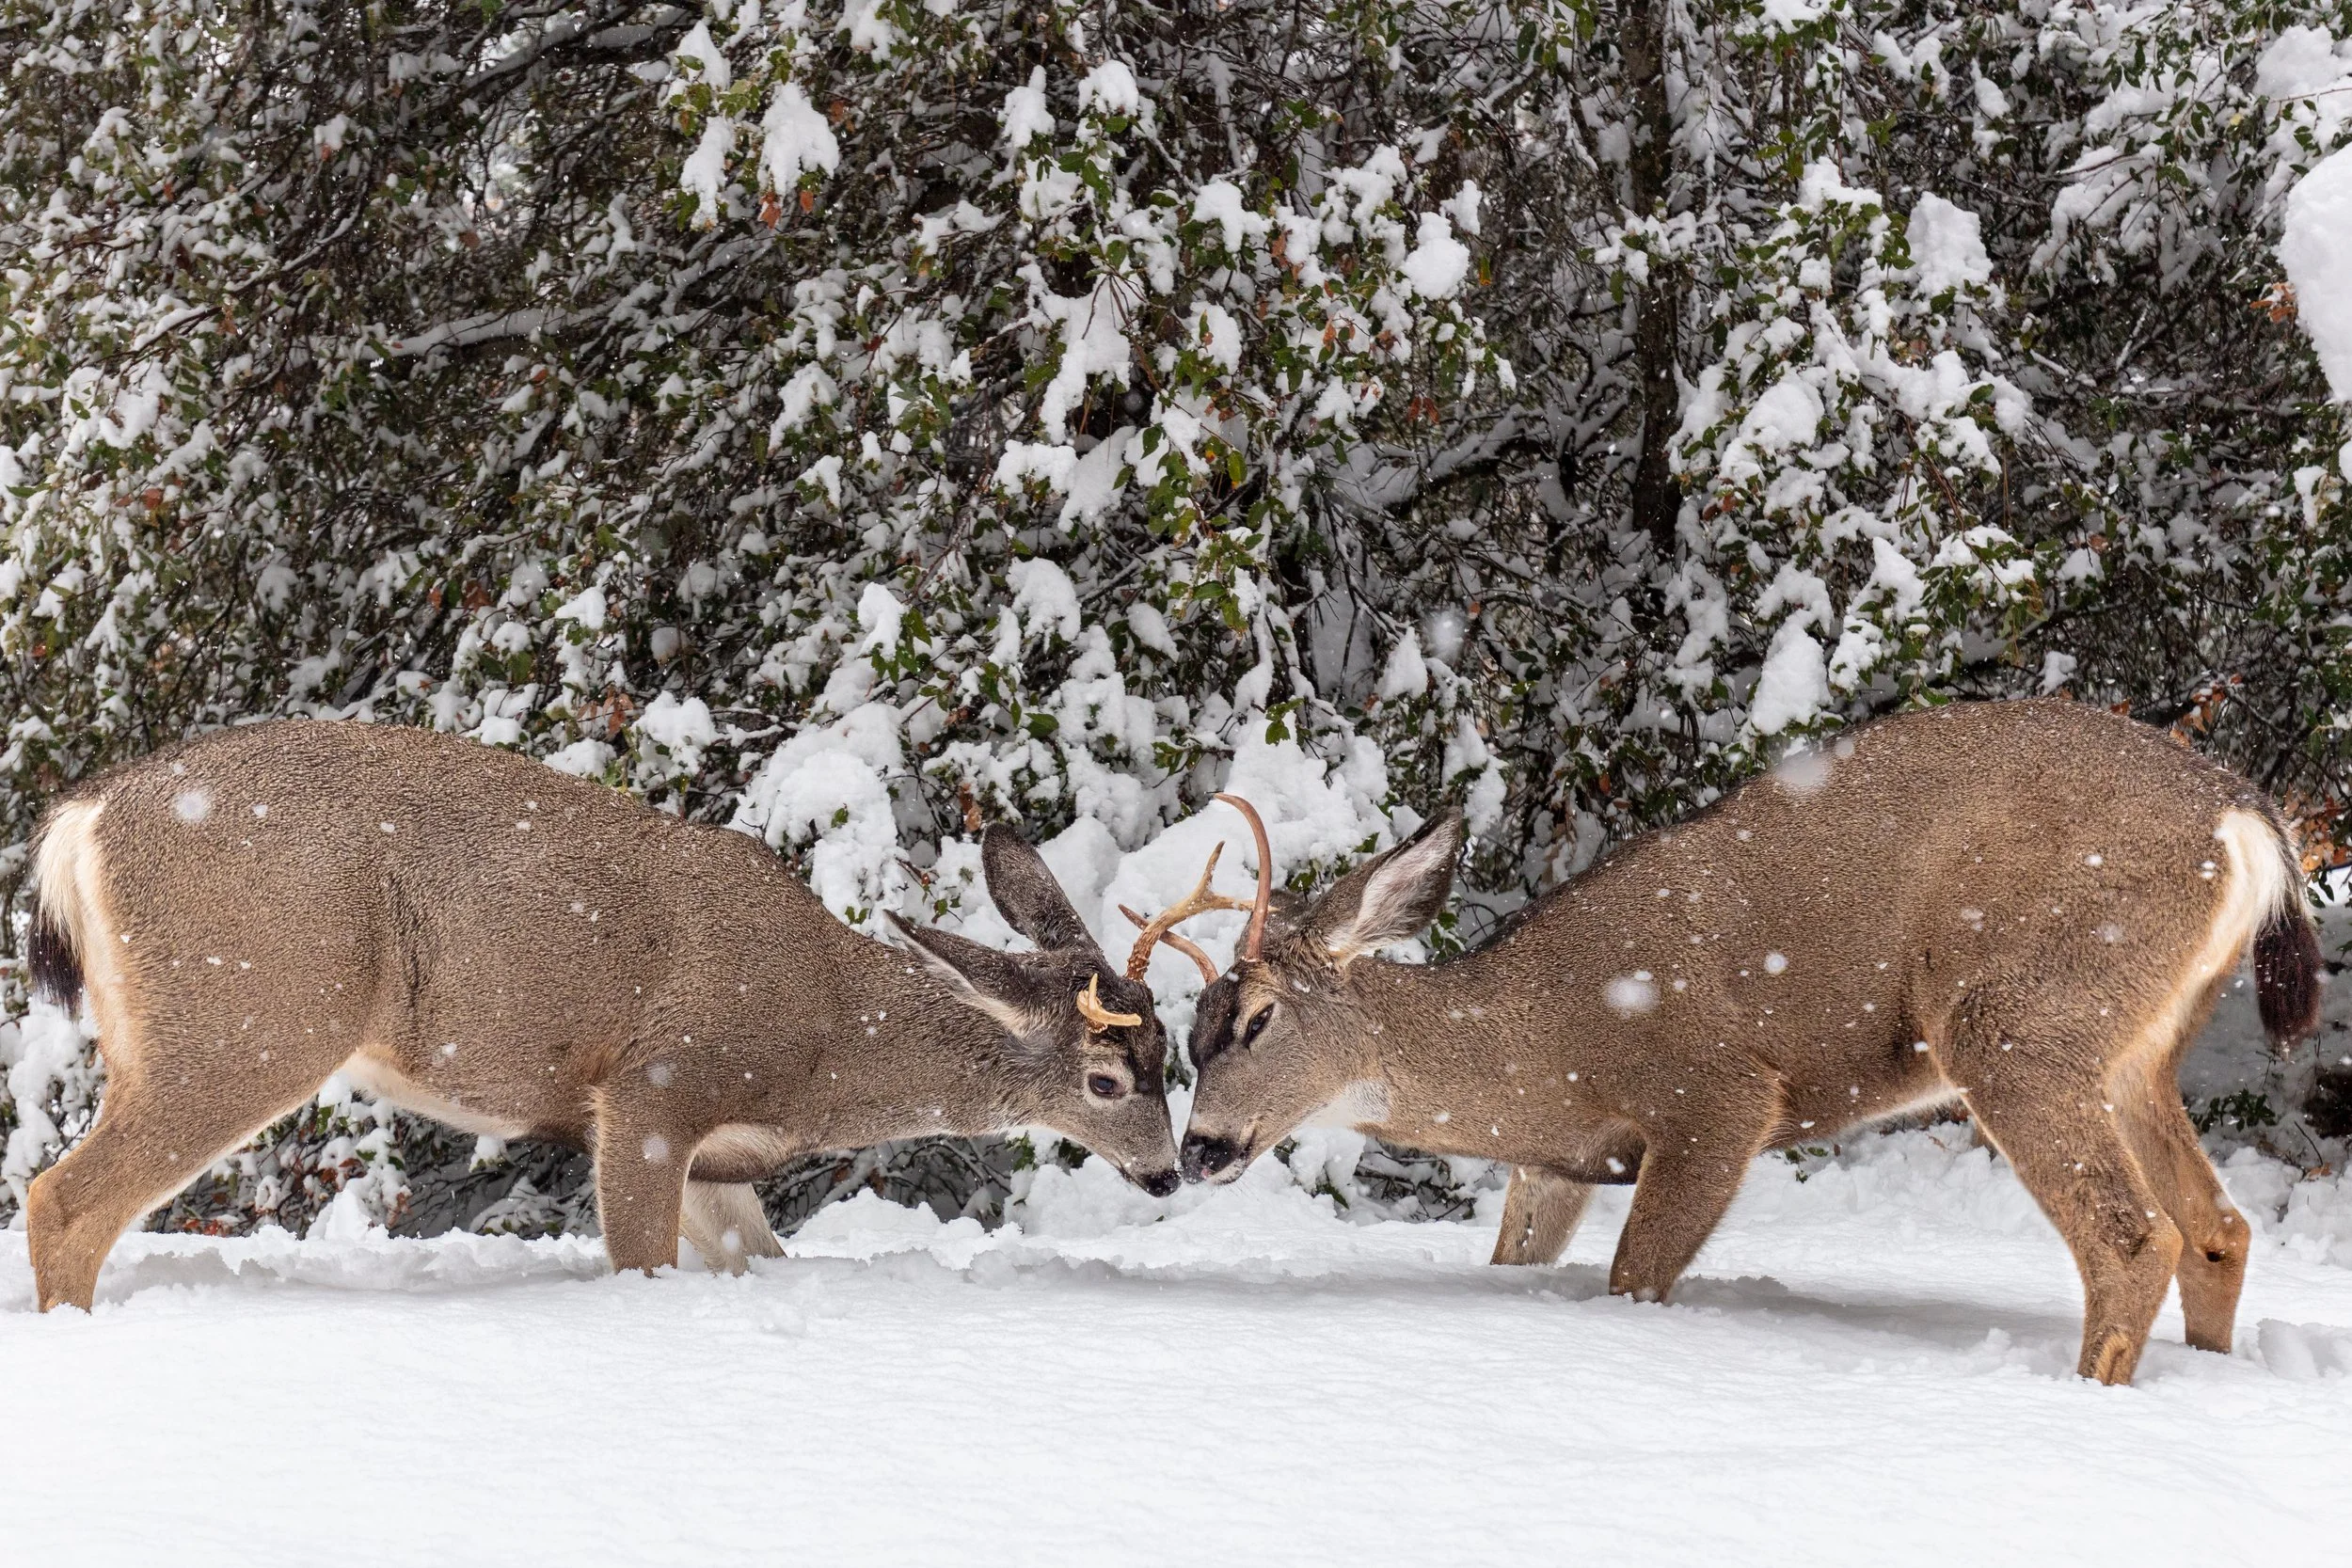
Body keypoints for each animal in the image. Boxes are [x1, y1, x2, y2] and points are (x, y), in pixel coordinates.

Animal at [21, 718, 1201, 1312]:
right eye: (1105, 1079)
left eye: (1171, 1057)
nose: (1166, 1173)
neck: (826, 1044)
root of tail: (82, 819)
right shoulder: (653, 1089)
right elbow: (641, 1265)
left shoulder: (719, 1157)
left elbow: (758, 1260)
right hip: (249, 1014)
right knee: (60, 1197)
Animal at [1159, 700, 2324, 1385]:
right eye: (1188, 1034)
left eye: (1256, 1018)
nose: (1199, 1148)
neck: (1543, 1040)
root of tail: (2245, 816)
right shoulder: (1558, 1164)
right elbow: (1516, 1250)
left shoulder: (1714, 1096)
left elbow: (1633, 1277)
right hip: (2135, 1041)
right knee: (2217, 1227)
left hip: (2013, 1017)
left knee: (2133, 1237)